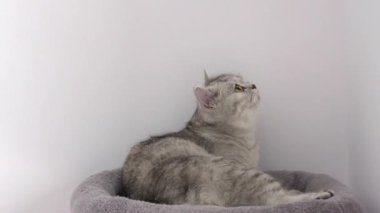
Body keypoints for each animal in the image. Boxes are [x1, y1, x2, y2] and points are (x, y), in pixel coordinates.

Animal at [123, 72, 334, 206]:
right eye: (239, 88)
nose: (253, 84)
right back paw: (321, 195)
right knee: (276, 200)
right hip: (245, 173)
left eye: (244, 80)